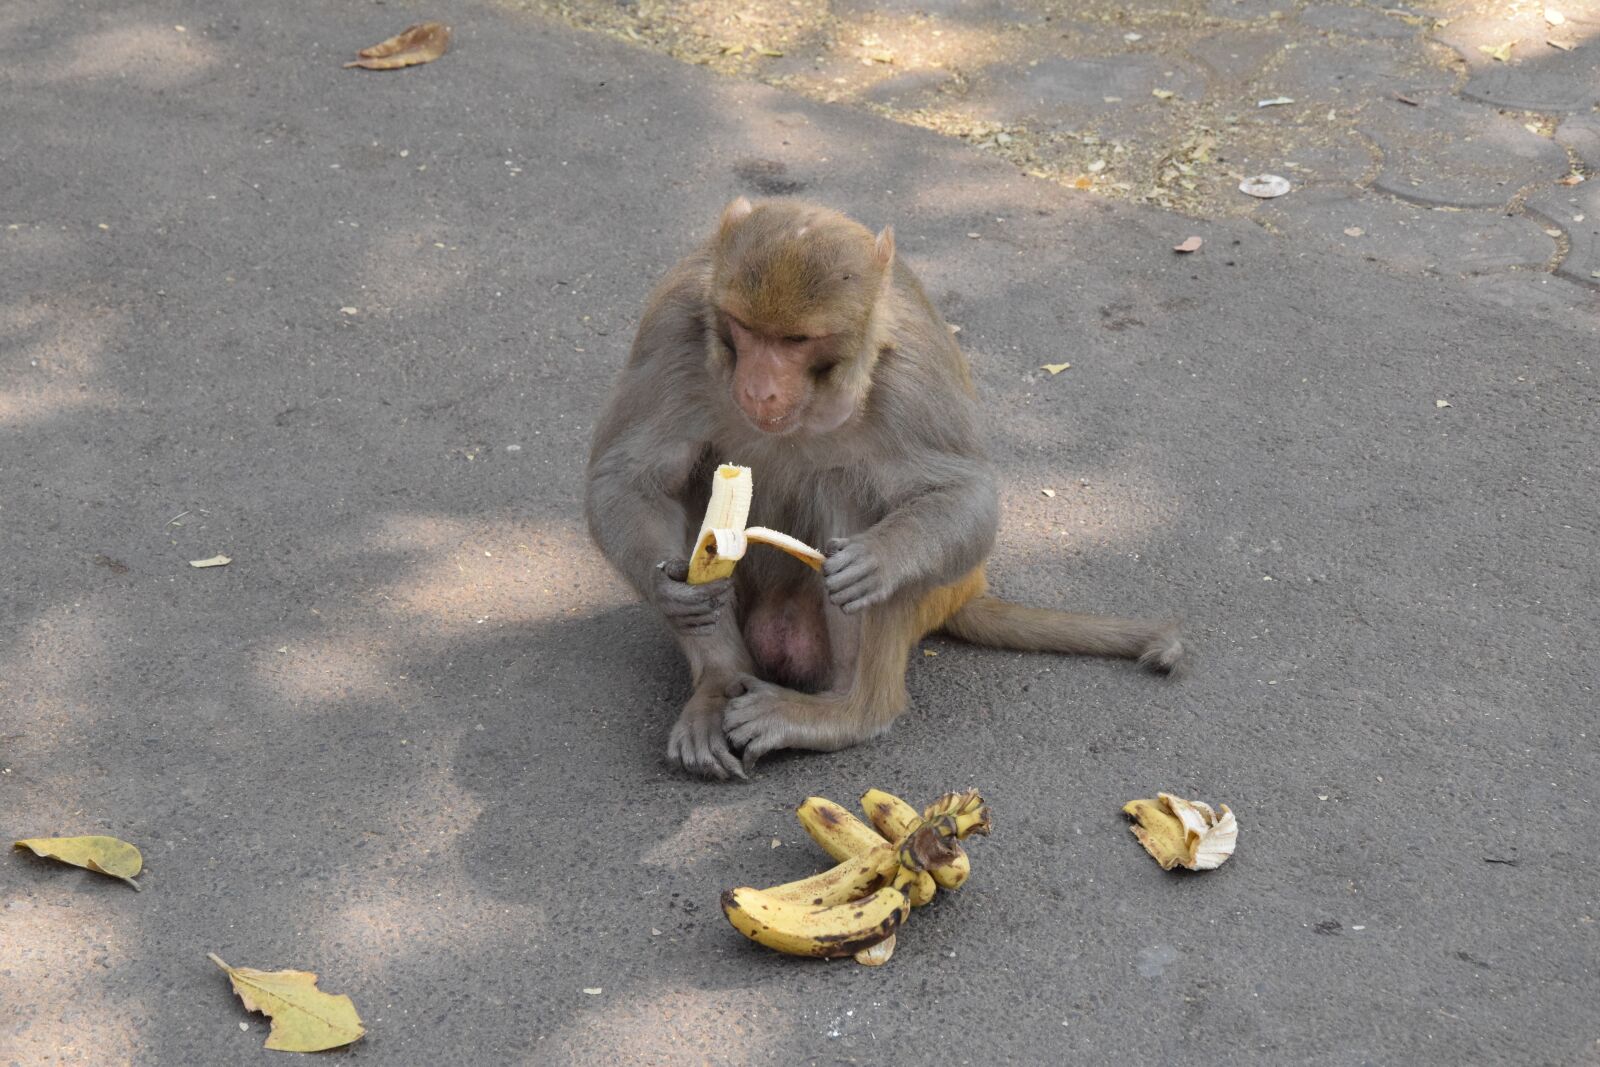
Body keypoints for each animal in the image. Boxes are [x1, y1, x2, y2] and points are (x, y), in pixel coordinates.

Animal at [585, 197, 1181, 780]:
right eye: (744, 328)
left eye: (796, 340)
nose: (759, 389)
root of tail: (967, 593)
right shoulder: (673, 326)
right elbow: (628, 478)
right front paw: (672, 588)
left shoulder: (911, 372)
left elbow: (965, 496)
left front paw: (880, 558)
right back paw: (719, 684)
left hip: (937, 586)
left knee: (850, 492)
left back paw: (850, 713)